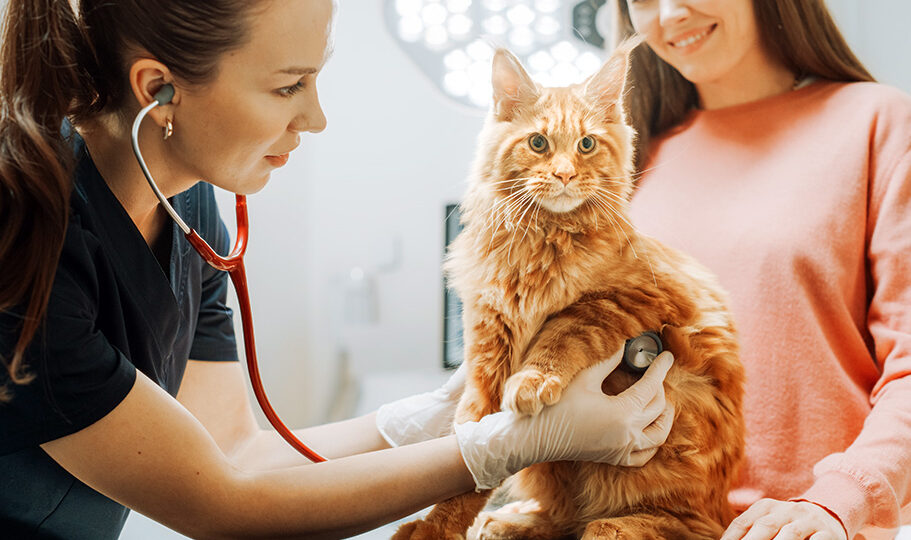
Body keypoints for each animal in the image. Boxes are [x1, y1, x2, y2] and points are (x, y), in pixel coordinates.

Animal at [396, 43, 744, 540]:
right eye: (538, 143)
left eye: (586, 144)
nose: (563, 175)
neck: (542, 243)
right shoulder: (487, 352)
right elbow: (467, 458)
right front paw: (434, 527)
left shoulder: (629, 298)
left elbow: (563, 331)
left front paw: (534, 379)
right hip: (553, 471)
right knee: (562, 516)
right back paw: (509, 523)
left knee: (670, 525)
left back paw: (611, 525)